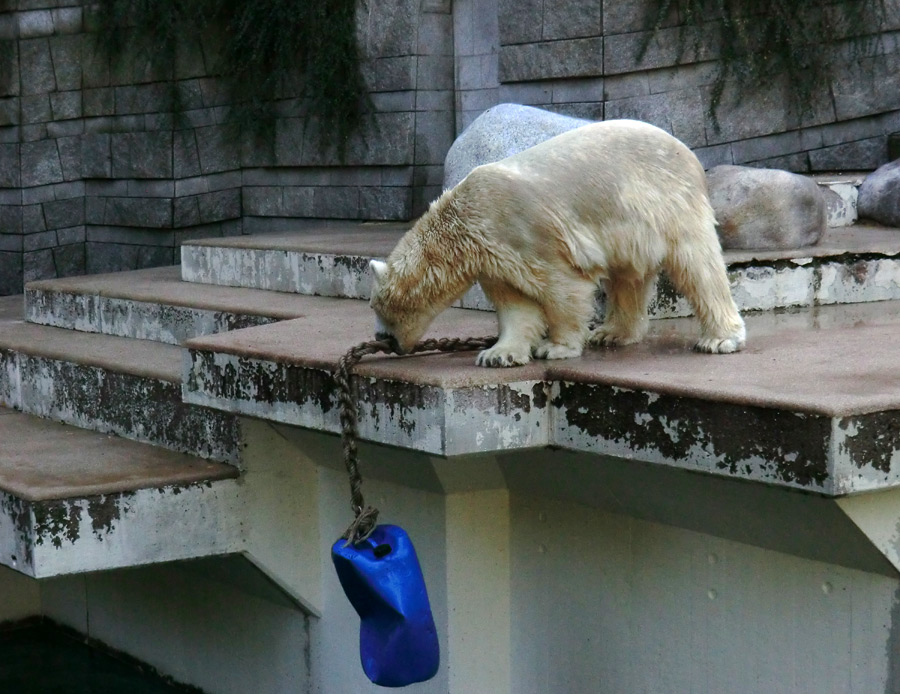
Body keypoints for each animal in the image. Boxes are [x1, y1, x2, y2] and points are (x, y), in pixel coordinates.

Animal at [366, 119, 744, 370]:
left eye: (381, 307)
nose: (383, 340)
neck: (463, 221)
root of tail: (687, 153)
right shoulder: (495, 259)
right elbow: (516, 305)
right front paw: (498, 354)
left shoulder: (526, 234)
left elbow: (562, 288)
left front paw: (556, 347)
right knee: (629, 277)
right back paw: (612, 333)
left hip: (668, 202)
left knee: (698, 266)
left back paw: (720, 338)